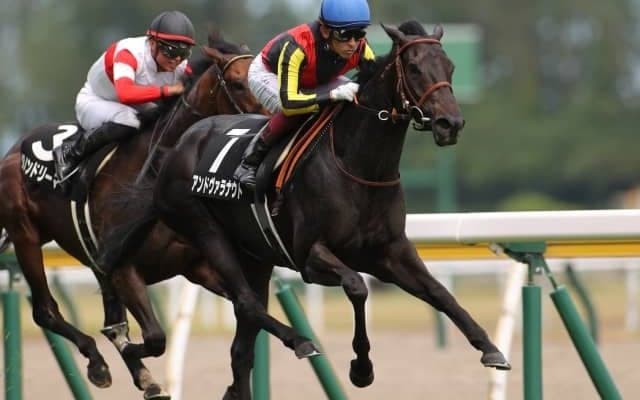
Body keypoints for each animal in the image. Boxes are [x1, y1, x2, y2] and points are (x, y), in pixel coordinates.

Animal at [0, 29, 267, 400]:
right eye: (239, 84)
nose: (266, 125)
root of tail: (12, 150)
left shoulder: (197, 266)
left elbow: (249, 309)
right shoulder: (125, 269)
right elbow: (154, 337)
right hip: (25, 236)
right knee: (46, 311)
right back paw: (98, 363)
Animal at [101, 21, 511, 400]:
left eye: (450, 66)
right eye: (413, 67)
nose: (450, 123)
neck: (360, 166)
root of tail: (178, 146)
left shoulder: (391, 252)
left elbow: (440, 292)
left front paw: (489, 348)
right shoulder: (310, 256)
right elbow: (356, 287)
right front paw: (361, 367)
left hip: (255, 257)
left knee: (242, 343)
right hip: (205, 230)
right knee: (246, 303)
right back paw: (297, 340)